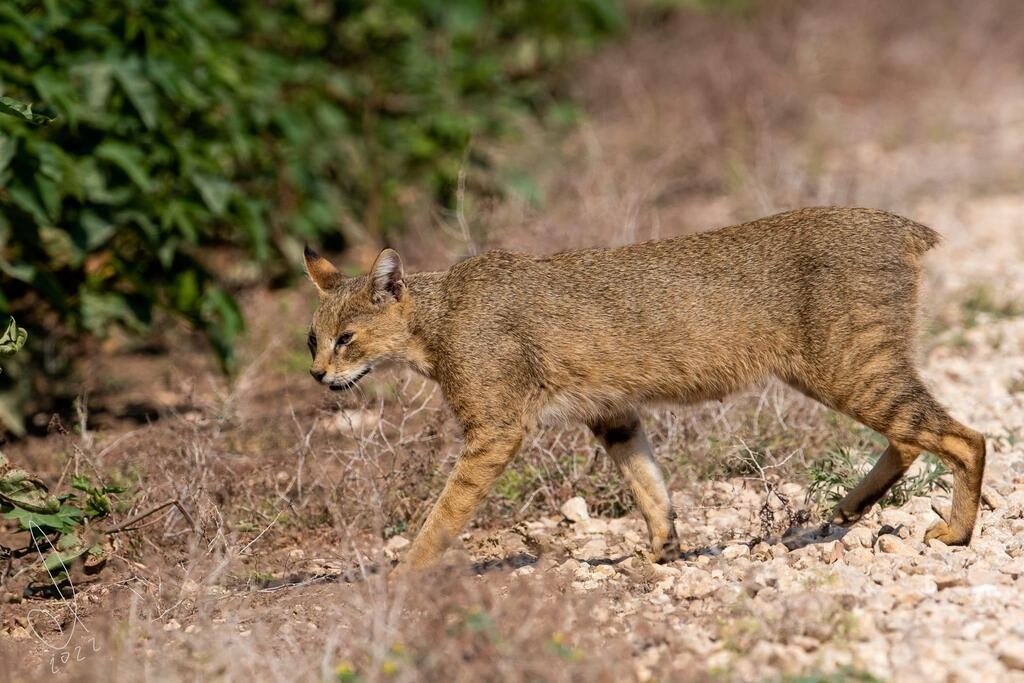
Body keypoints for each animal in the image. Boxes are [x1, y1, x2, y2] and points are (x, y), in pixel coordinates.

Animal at [301, 205, 983, 569]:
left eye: (347, 339)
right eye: (313, 339)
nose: (317, 375)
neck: (437, 319)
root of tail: (897, 224)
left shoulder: (495, 428)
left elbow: (445, 511)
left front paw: (402, 575)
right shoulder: (613, 412)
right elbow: (648, 484)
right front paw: (660, 551)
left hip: (848, 369)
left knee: (965, 437)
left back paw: (954, 532)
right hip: (845, 372)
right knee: (916, 436)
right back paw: (848, 508)